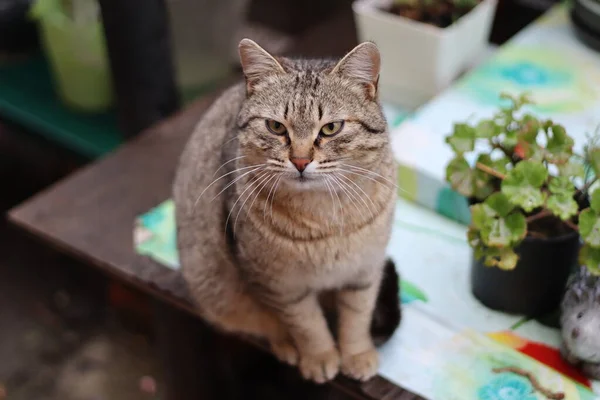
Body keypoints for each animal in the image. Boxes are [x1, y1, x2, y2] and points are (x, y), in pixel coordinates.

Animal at [173, 39, 398, 382]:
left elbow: (357, 316)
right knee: (264, 323)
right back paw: (285, 345)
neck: (323, 215)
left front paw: (357, 354)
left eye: (331, 128)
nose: (301, 161)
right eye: (276, 126)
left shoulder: (365, 270)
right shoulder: (280, 285)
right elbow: (307, 324)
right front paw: (319, 356)